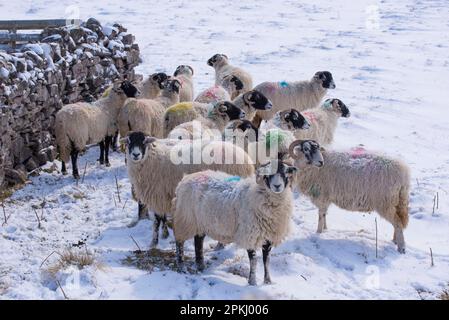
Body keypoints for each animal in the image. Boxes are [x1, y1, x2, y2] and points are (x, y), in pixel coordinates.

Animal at [121, 131, 256, 249]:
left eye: (144, 142)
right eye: (129, 142)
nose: (135, 155)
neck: (152, 158)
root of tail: (246, 160)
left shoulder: (158, 194)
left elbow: (157, 220)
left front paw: (154, 242)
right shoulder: (163, 196)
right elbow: (161, 218)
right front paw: (163, 236)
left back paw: (219, 245)